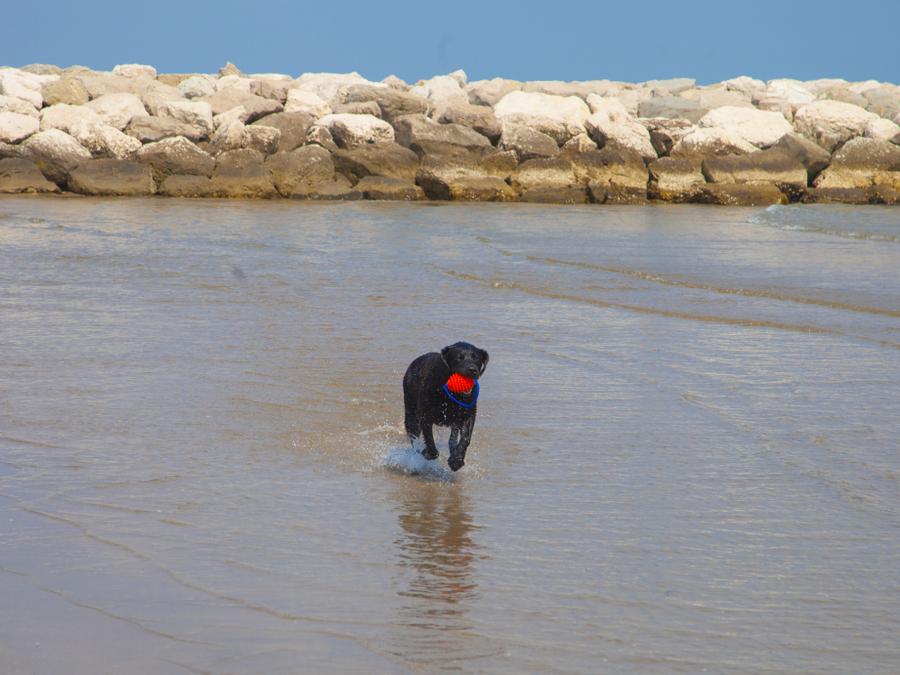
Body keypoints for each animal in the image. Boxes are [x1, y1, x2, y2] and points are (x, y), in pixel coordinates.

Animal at [403, 342, 489, 471]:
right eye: (459, 357)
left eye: (476, 358)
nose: (472, 370)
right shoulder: (425, 417)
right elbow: (430, 443)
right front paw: (427, 453)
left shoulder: (468, 415)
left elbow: (465, 438)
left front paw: (456, 460)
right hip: (411, 414)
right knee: (414, 435)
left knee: (452, 438)